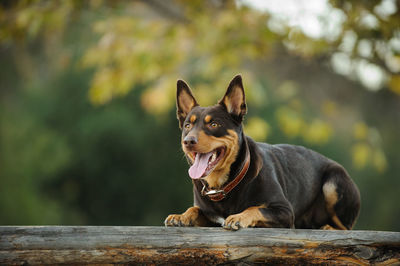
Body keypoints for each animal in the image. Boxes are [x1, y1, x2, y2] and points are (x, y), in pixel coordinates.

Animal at [164, 75, 360, 231]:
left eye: (214, 124)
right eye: (188, 126)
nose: (188, 141)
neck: (224, 185)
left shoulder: (284, 211)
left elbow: (255, 208)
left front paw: (238, 217)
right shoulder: (209, 215)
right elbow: (195, 209)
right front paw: (181, 216)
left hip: (333, 184)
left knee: (345, 228)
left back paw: (328, 227)